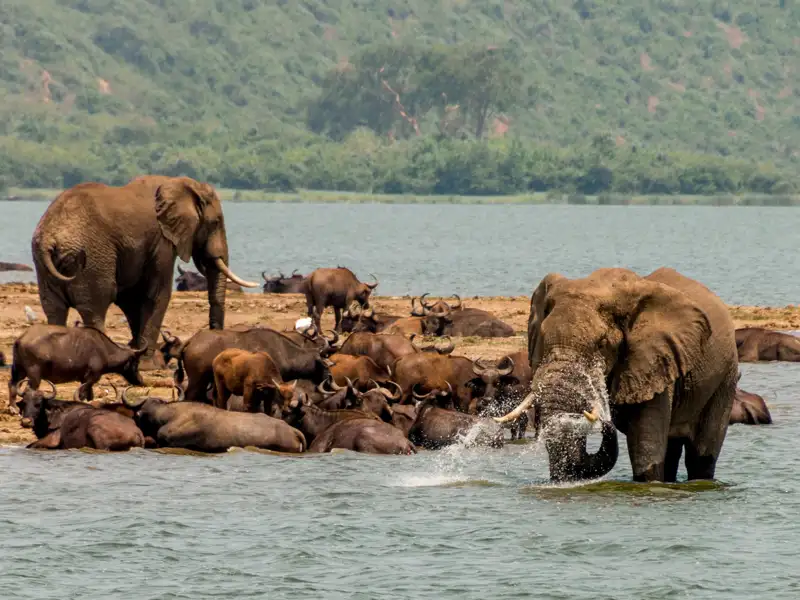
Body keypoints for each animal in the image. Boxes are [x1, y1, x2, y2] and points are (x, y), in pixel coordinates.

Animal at [30, 175, 259, 370]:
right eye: (215, 222)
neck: (181, 184)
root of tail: (50, 238)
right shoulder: (162, 241)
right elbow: (156, 294)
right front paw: (151, 365)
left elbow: (132, 298)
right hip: (92, 258)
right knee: (95, 307)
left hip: (44, 264)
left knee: (54, 310)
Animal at [495, 267, 738, 484]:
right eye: (543, 337)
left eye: (602, 344)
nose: (606, 421)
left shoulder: (655, 361)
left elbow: (645, 450)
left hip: (726, 377)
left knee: (701, 456)